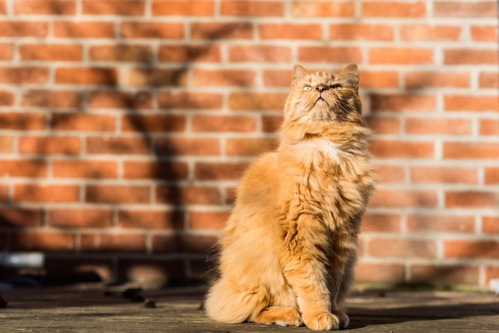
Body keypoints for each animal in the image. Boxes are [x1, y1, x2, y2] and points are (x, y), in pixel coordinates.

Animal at [204, 63, 376, 328]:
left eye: (335, 86)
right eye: (307, 87)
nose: (320, 88)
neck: (326, 148)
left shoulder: (342, 235)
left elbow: (331, 284)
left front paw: (333, 313)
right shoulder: (300, 232)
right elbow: (312, 283)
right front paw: (319, 317)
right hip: (260, 268)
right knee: (251, 307)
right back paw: (288, 316)